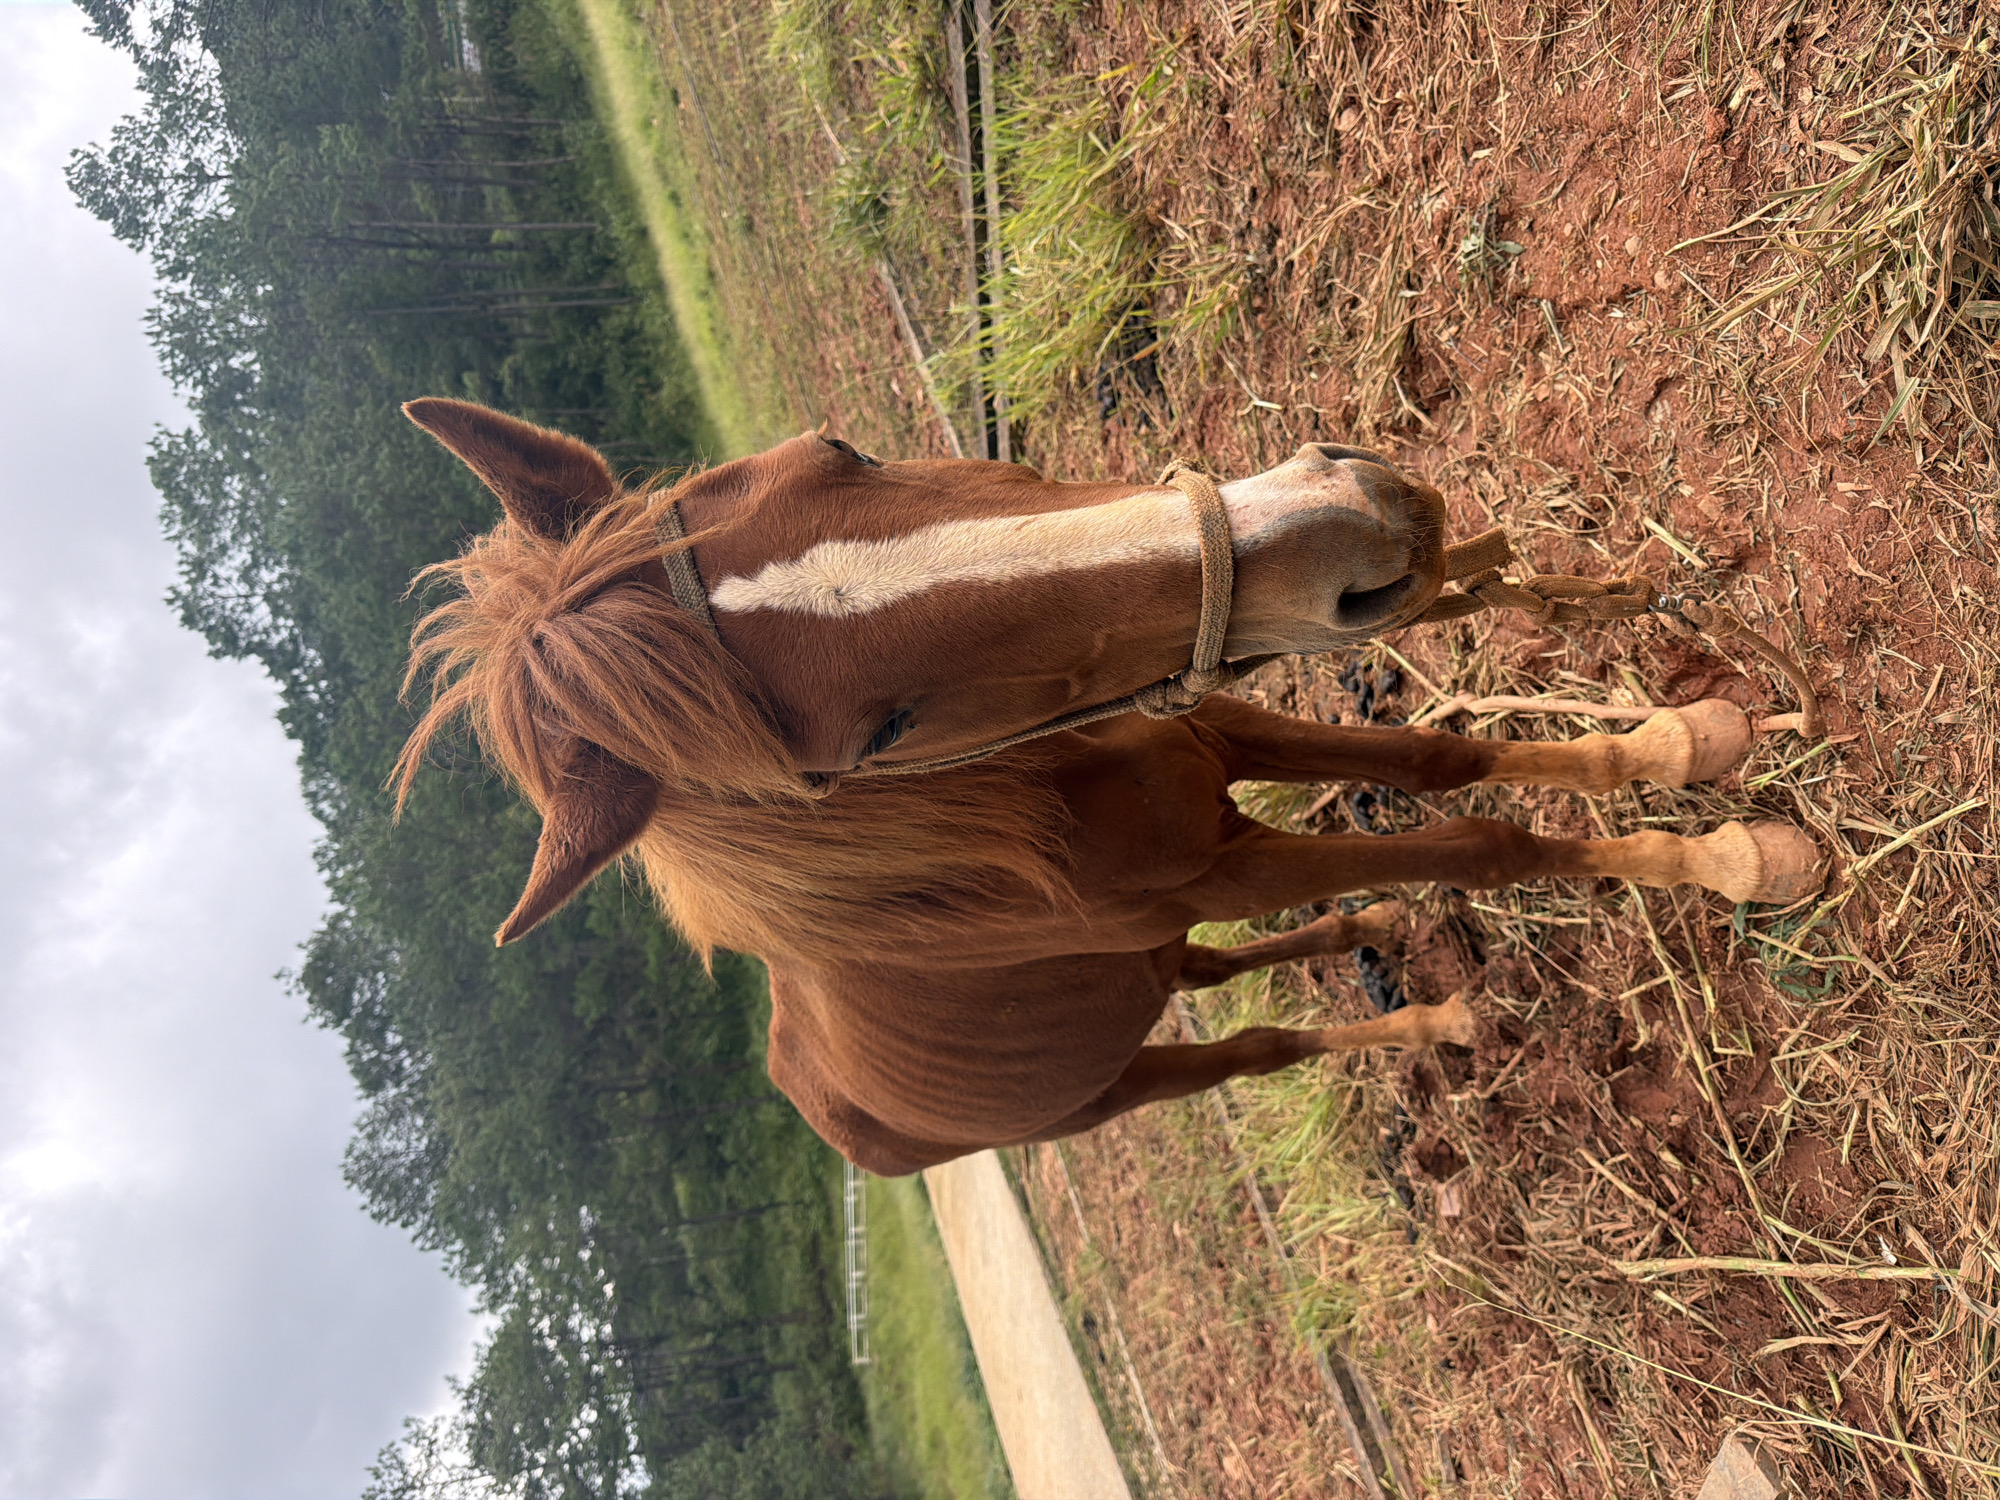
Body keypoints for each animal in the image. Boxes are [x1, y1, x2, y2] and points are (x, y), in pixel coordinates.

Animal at [395, 399, 1820, 1176]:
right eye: (875, 735)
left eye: (836, 446)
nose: (1349, 527)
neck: (1036, 797)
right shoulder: (1229, 858)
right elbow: (1479, 843)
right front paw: (1730, 857)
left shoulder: (1218, 736)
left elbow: (1438, 762)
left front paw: (1682, 745)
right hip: (1107, 1093)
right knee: (1251, 1044)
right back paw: (1436, 1018)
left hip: (1145, 961)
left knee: (1208, 967)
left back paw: (1369, 936)